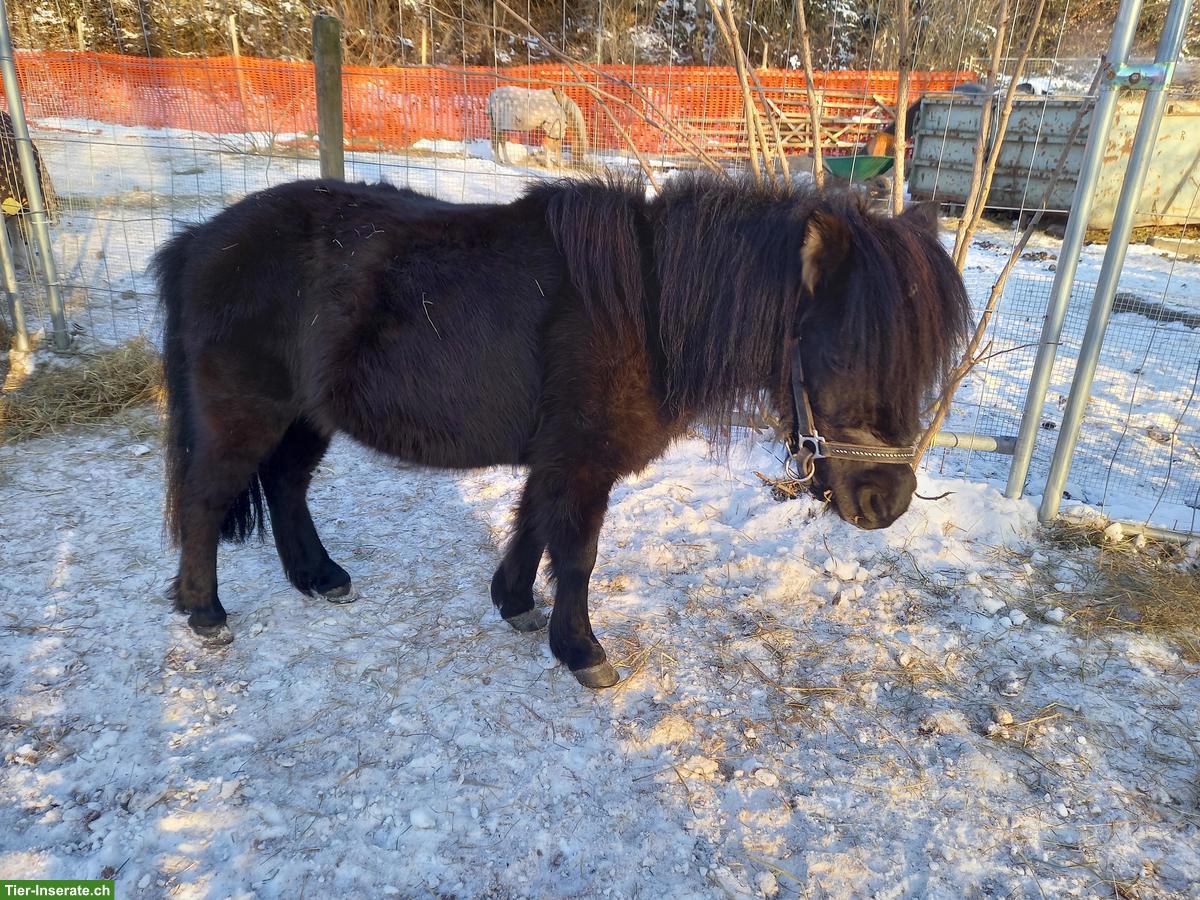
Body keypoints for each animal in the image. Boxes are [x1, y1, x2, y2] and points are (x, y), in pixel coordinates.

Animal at [153, 175, 970, 690]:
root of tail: (198, 241)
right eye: (843, 355)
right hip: (243, 414)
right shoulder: (580, 460)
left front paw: (514, 603)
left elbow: (531, 526)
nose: (887, 501)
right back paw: (203, 610)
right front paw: (581, 650)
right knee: (204, 501)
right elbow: (576, 552)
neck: (647, 310)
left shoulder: (556, 458)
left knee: (286, 487)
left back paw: (319, 577)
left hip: (305, 417)